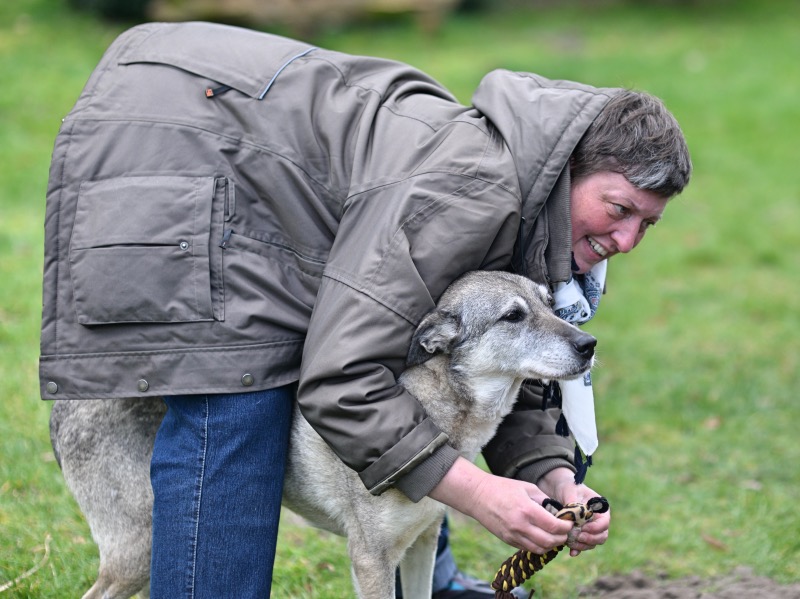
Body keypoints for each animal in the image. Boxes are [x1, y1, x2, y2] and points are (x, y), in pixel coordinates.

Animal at [50, 270, 596, 599]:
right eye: (513, 316)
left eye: (551, 305)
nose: (589, 343)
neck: (434, 412)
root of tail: (66, 400)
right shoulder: (372, 560)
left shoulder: (421, 546)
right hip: (137, 550)